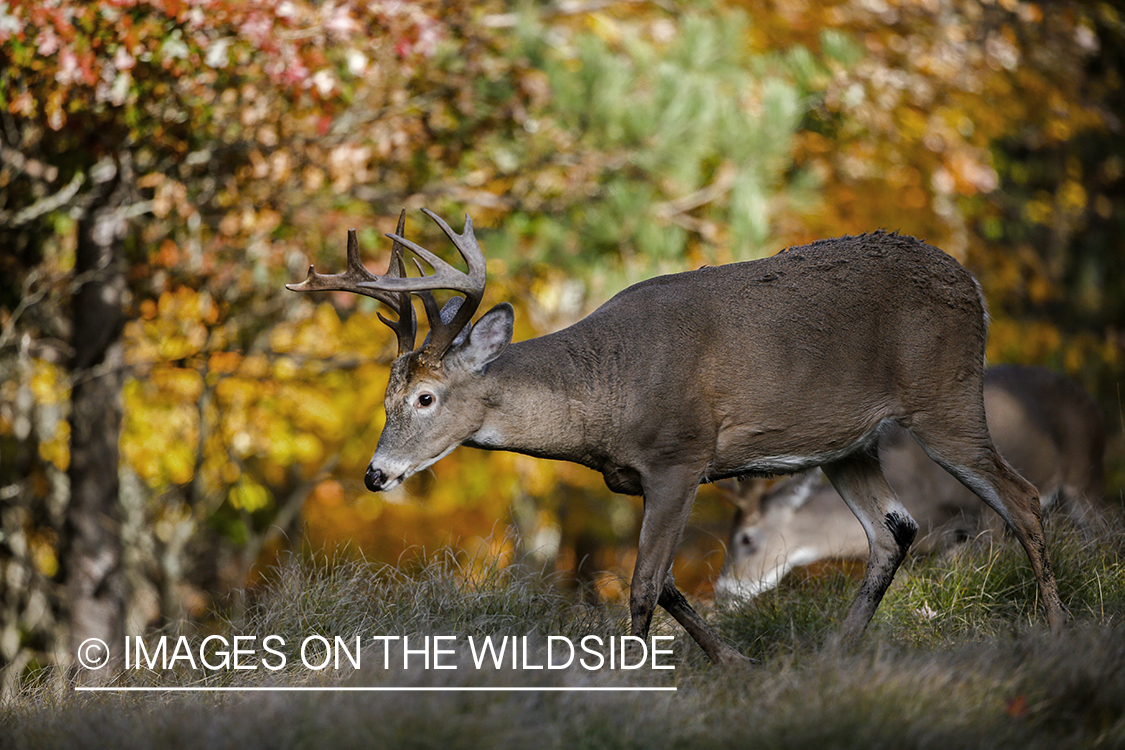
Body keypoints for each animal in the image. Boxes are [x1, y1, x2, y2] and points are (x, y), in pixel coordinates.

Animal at [288, 208, 1062, 665]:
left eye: (426, 397)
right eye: (385, 397)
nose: (375, 474)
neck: (607, 391)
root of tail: (974, 289)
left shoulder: (682, 457)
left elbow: (641, 585)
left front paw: (627, 686)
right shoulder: (637, 478)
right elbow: (664, 586)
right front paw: (737, 665)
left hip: (944, 397)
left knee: (1022, 498)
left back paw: (1055, 629)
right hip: (850, 443)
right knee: (891, 531)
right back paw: (836, 655)